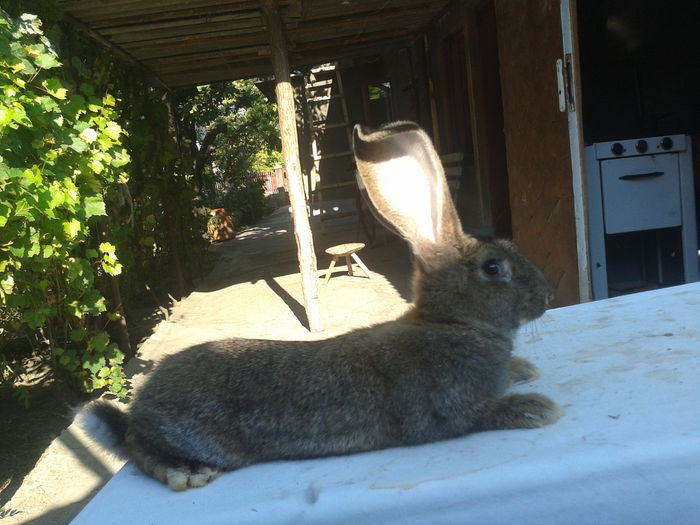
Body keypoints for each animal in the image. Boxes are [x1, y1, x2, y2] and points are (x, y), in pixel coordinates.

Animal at [89, 121, 564, 490]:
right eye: (493, 268)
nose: (548, 296)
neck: (451, 322)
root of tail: (141, 407)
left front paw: (523, 371)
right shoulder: (445, 409)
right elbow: (478, 415)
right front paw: (536, 408)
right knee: (137, 448)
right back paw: (185, 471)